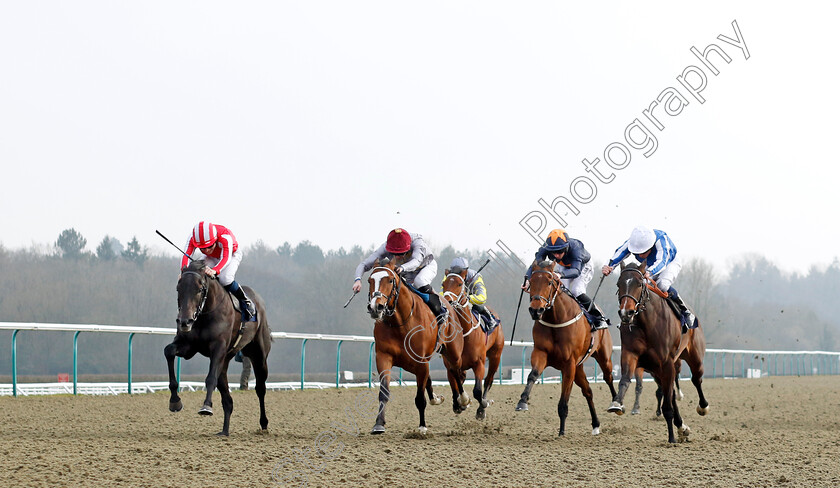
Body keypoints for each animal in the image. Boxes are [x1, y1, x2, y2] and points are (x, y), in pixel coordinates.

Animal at [162, 262, 270, 436]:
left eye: (200, 289)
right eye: (179, 289)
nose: (185, 321)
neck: (205, 313)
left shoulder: (218, 348)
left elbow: (210, 377)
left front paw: (206, 406)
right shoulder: (188, 346)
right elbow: (169, 351)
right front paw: (175, 401)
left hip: (258, 355)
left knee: (260, 388)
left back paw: (264, 423)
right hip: (225, 361)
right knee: (228, 399)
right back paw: (224, 431)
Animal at [368, 260, 470, 434]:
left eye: (390, 280)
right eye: (370, 280)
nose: (376, 307)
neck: (400, 322)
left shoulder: (420, 362)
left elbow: (420, 398)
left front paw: (422, 426)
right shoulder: (383, 357)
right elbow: (384, 392)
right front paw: (379, 424)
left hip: (453, 351)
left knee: (455, 371)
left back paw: (462, 400)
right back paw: (438, 399)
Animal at [442, 268, 502, 422]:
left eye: (459, 284)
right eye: (443, 284)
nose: (447, 301)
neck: (464, 334)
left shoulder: (479, 363)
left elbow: (477, 391)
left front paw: (483, 405)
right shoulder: (450, 363)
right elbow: (455, 384)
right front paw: (460, 403)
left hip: (496, 355)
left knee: (488, 380)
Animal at [512, 262, 616, 436]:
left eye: (549, 282)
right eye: (531, 282)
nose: (536, 310)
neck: (555, 319)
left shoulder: (569, 365)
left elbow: (563, 402)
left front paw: (561, 432)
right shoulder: (541, 353)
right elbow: (532, 375)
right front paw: (522, 401)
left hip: (603, 357)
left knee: (608, 378)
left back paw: (617, 404)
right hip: (579, 367)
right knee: (588, 391)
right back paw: (595, 424)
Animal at [612, 264, 708, 442]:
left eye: (639, 284)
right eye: (618, 284)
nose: (626, 313)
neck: (646, 324)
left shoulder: (667, 363)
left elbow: (668, 405)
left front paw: (671, 438)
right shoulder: (631, 355)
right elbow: (625, 379)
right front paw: (617, 403)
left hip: (694, 357)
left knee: (696, 379)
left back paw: (703, 407)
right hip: (657, 370)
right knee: (670, 392)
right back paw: (681, 426)